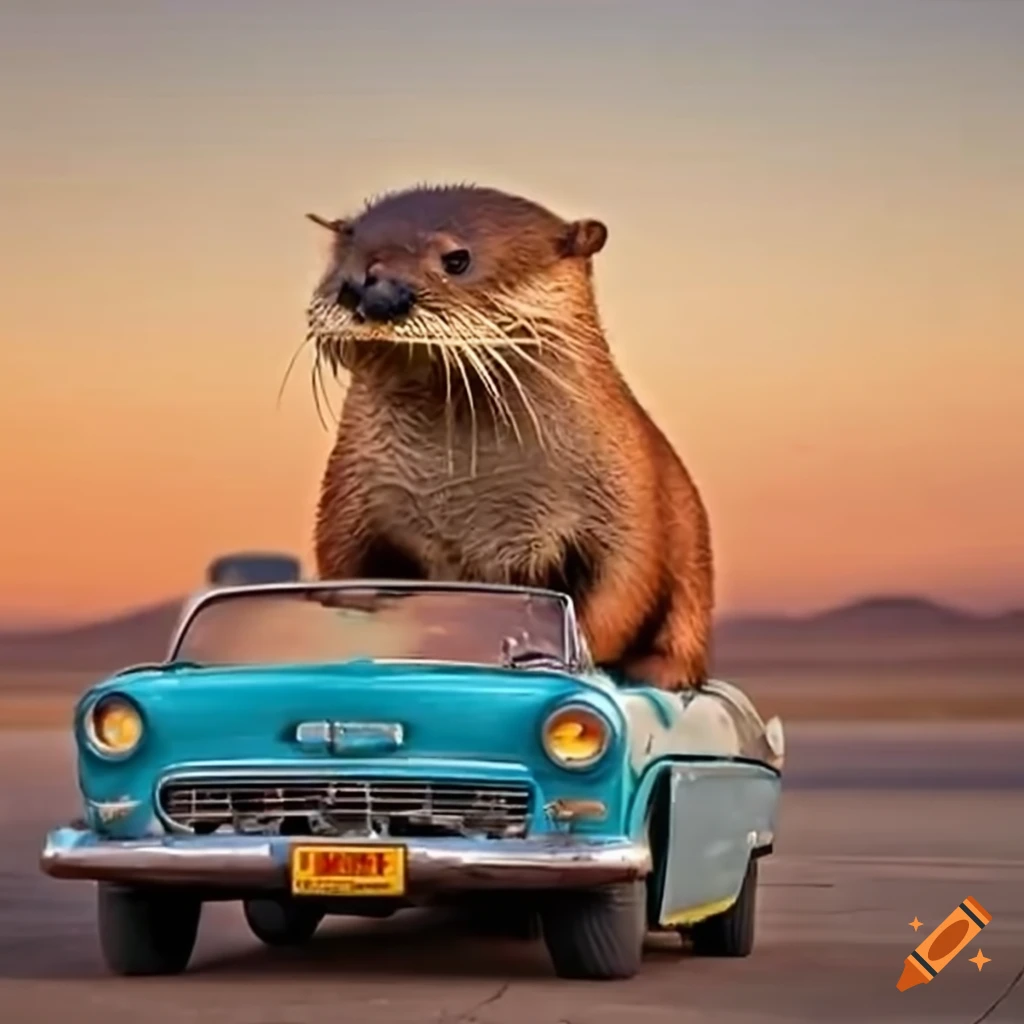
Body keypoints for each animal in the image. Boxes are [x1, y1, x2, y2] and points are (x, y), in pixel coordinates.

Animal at [304, 184, 713, 689]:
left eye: (457, 259)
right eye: (346, 252)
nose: (365, 289)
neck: (468, 497)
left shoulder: (625, 499)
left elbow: (620, 589)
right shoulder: (349, 498)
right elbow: (342, 570)